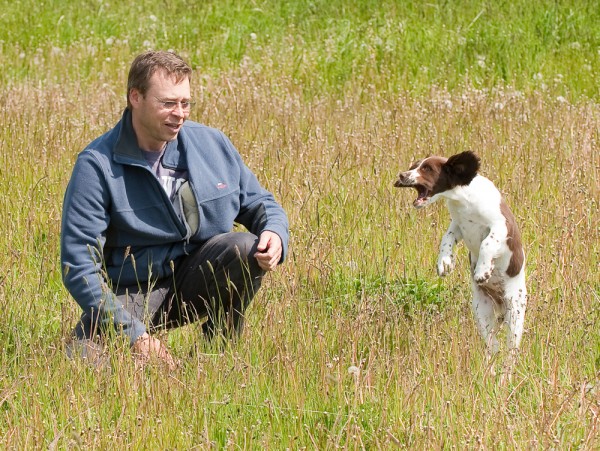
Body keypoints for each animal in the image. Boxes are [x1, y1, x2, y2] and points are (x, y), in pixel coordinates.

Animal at [396, 152, 528, 382]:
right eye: (414, 166)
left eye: (427, 169)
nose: (402, 175)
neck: (463, 199)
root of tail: (501, 306)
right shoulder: (457, 225)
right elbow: (446, 238)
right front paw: (444, 263)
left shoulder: (500, 226)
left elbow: (487, 243)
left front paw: (483, 271)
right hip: (482, 311)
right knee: (492, 345)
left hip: (515, 310)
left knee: (510, 352)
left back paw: (505, 378)